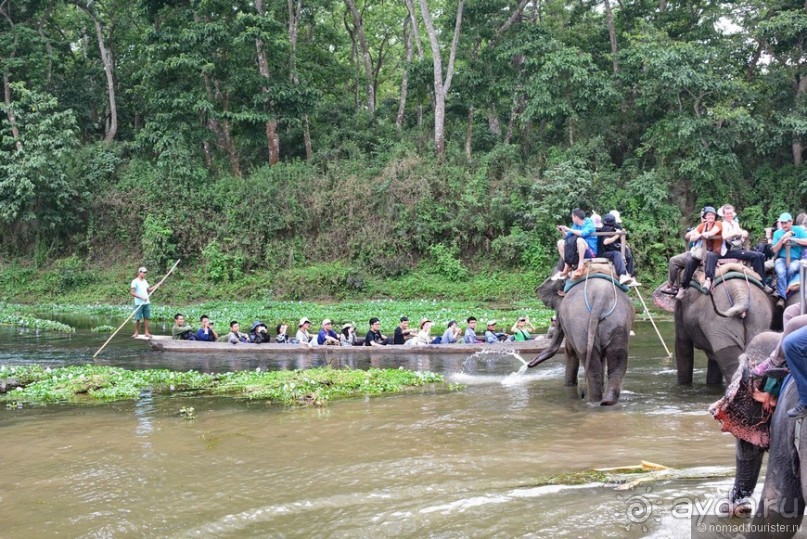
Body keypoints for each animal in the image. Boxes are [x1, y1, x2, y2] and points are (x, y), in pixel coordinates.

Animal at [532, 274, 636, 404]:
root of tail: (600, 296)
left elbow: (570, 351)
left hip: (580, 324)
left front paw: (568, 385)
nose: (530, 364)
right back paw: (607, 401)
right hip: (619, 321)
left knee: (588, 360)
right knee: (617, 360)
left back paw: (593, 401)